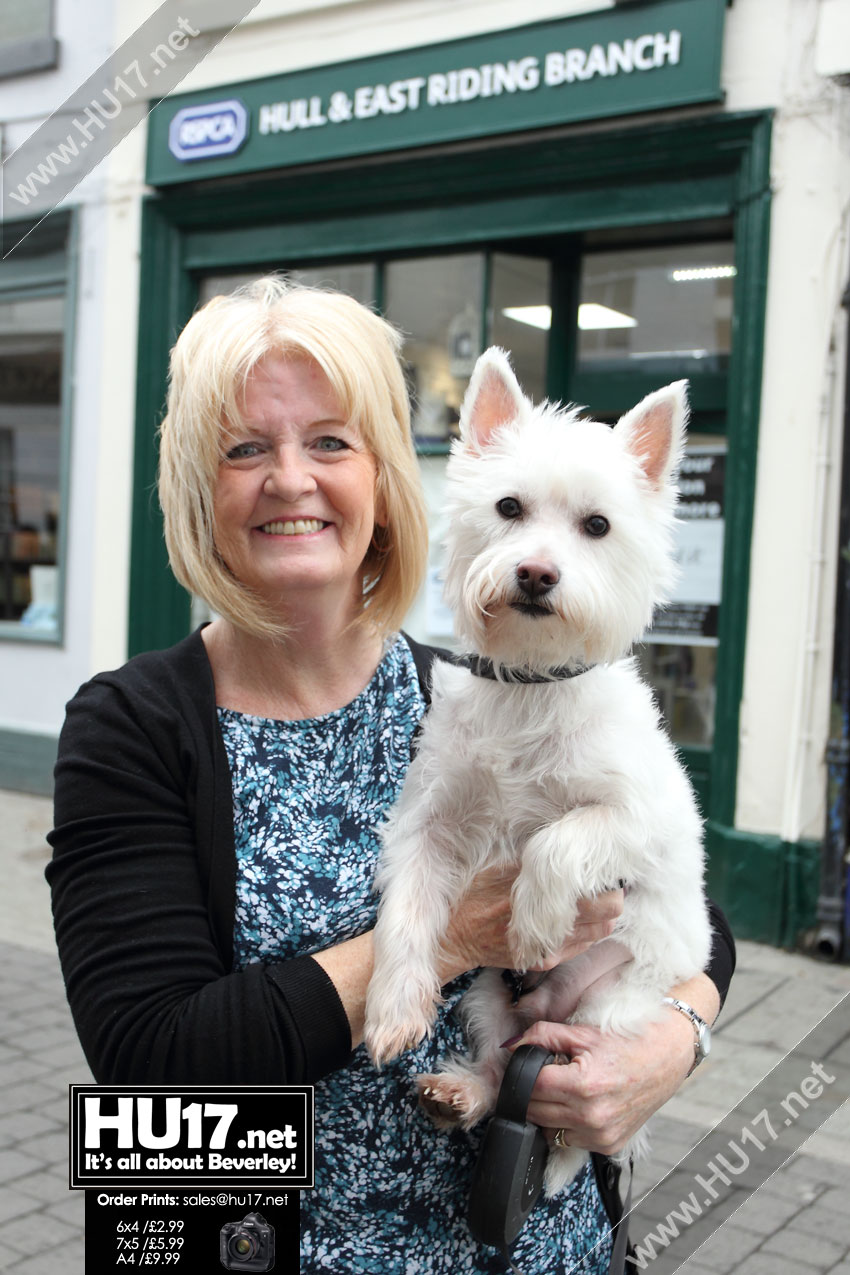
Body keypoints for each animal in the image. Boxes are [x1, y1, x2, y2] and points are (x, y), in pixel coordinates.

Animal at [364, 346, 713, 1183]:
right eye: (509, 507)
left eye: (598, 525)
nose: (536, 574)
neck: (530, 688)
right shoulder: (426, 821)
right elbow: (407, 913)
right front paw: (392, 1007)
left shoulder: (639, 817)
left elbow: (558, 839)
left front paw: (532, 922)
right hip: (488, 999)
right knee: (504, 1061)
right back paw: (463, 1091)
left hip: (615, 1002)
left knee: (573, 1108)